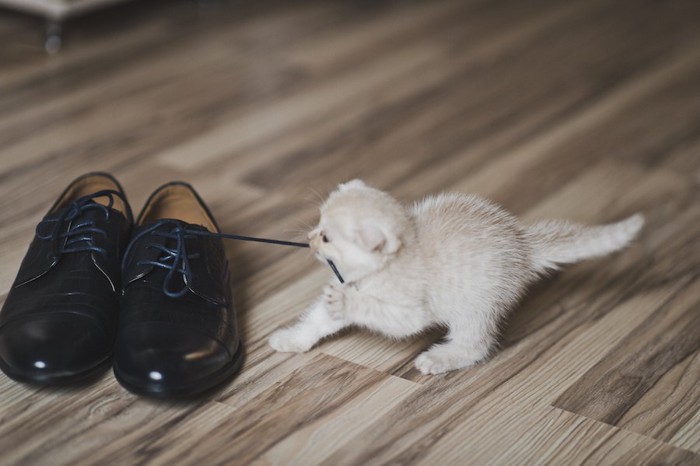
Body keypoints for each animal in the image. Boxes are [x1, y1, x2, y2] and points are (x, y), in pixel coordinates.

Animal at [270, 179, 644, 374]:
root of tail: (523, 243)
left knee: (476, 345)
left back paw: (440, 358)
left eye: (327, 237)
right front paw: (293, 339)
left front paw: (349, 301)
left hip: (475, 305)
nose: (309, 238)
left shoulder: (410, 309)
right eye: (318, 222)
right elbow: (318, 320)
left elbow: (387, 315)